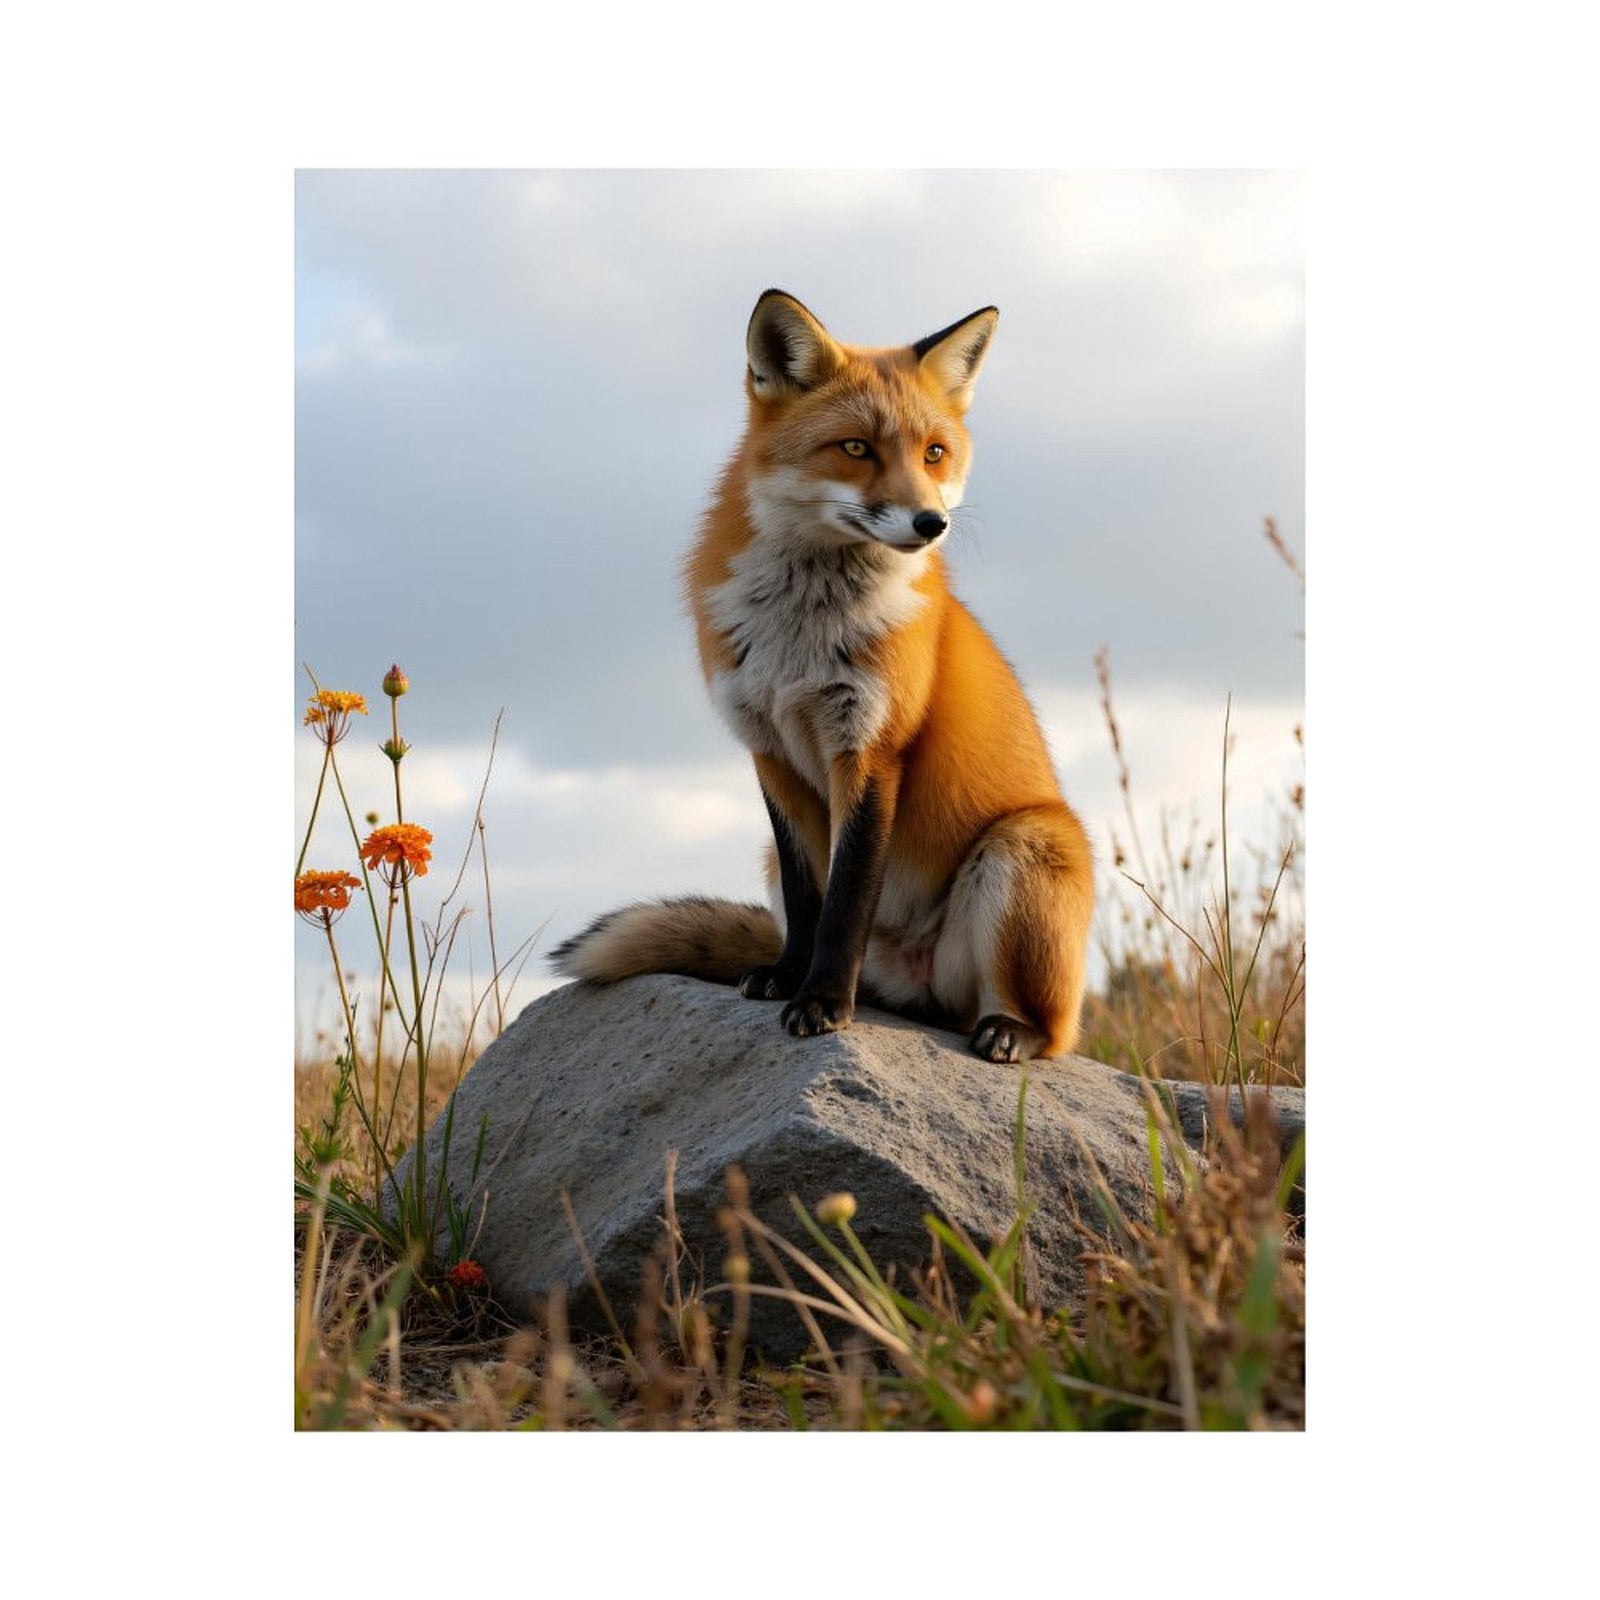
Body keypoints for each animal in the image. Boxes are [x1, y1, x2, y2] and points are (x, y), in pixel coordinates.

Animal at [551, 289, 1094, 1062]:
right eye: (857, 448)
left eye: (934, 454)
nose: (930, 523)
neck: (798, 641)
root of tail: (913, 984)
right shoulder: (771, 751)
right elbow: (812, 901)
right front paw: (788, 978)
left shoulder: (869, 749)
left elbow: (846, 902)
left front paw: (824, 1001)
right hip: (775, 864)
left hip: (1025, 845)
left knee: (1048, 1030)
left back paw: (1005, 1029)